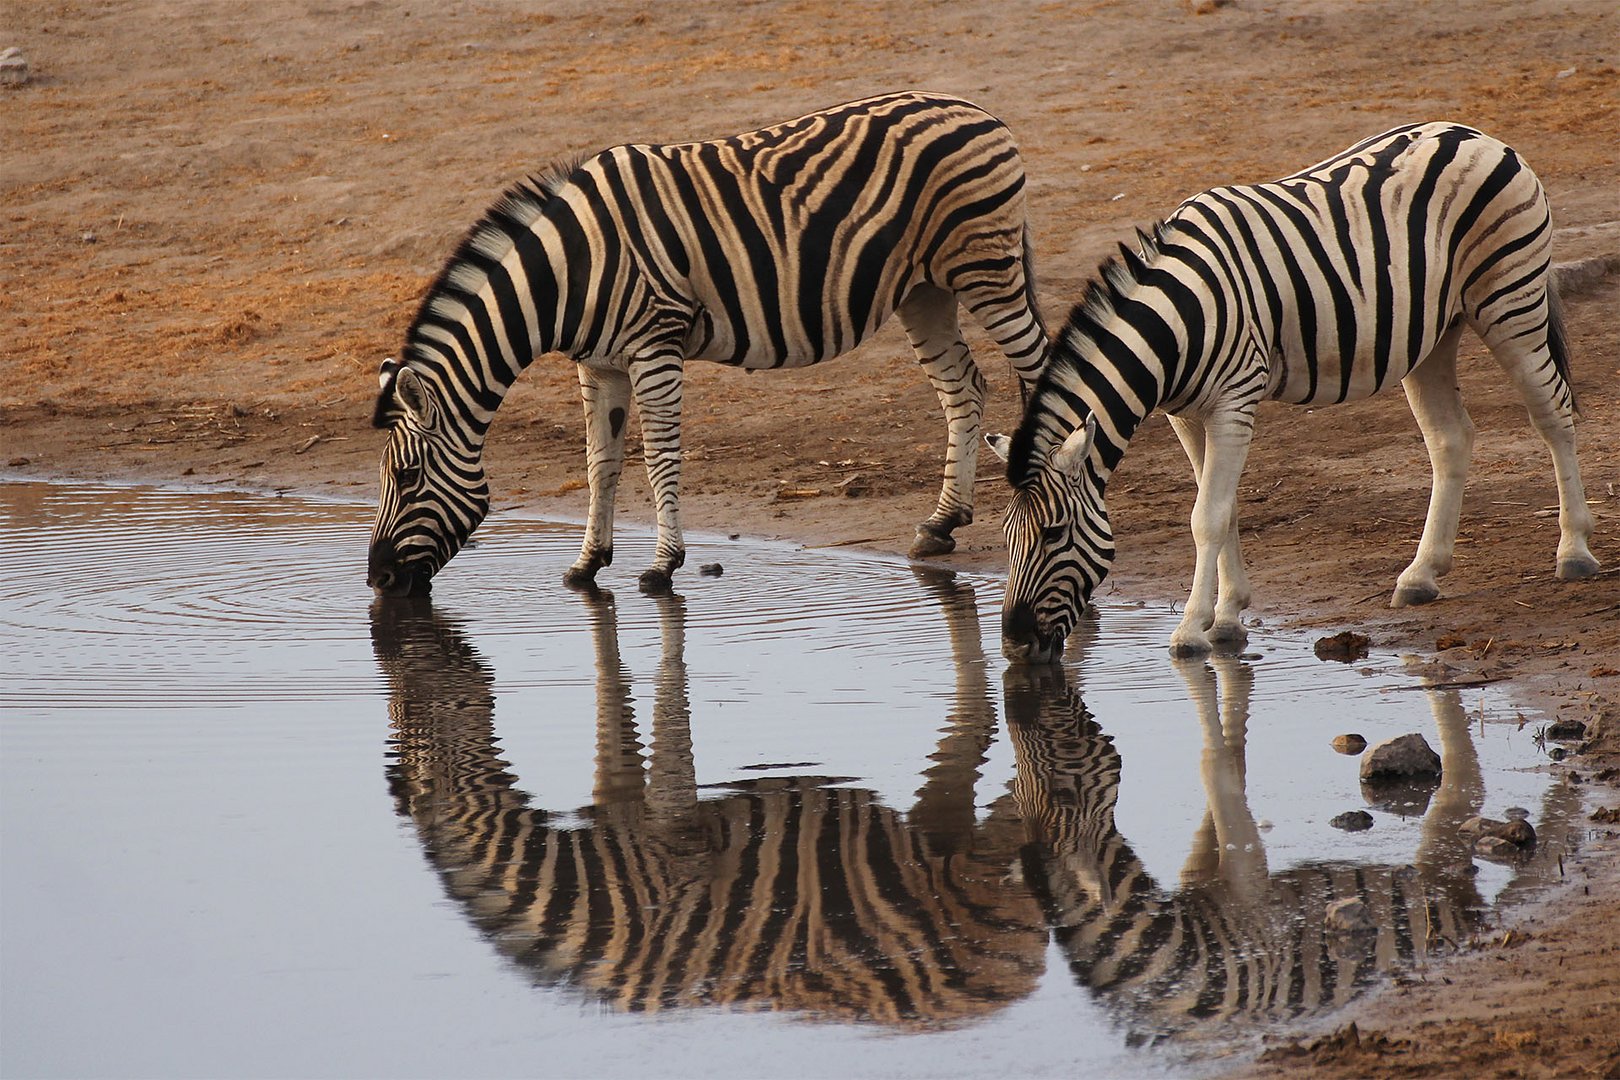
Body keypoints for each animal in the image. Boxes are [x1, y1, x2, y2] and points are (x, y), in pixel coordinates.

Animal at [367, 89, 1049, 599]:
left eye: (405, 476)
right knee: (965, 387)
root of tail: (978, 110)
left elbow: (660, 457)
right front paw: (588, 564)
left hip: (985, 270)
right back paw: (941, 524)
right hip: (925, 289)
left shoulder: (654, 345)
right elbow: (600, 462)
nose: (376, 581)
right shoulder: (599, 364)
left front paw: (662, 564)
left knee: (1039, 366)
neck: (570, 271)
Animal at [984, 118, 1594, 660]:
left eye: (1054, 534)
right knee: (1451, 438)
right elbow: (1223, 507)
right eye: (1007, 539)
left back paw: (1574, 552)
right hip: (1432, 334)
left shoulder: (1233, 400)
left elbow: (1206, 516)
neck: (1176, 324)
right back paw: (1421, 576)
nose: (1014, 644)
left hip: (1509, 299)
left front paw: (1190, 631)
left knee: (1553, 413)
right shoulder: (1185, 413)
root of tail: (1476, 133)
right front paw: (1228, 619)